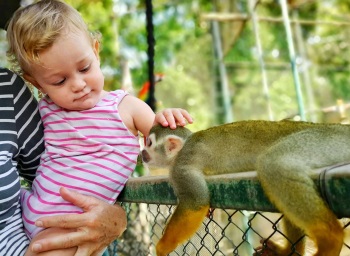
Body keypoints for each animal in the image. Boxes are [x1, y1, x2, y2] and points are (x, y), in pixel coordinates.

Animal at [140, 121, 348, 256]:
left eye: (149, 143)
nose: (142, 152)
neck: (181, 151)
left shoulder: (181, 166)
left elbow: (195, 200)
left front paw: (162, 247)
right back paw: (289, 252)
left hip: (324, 142)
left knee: (273, 163)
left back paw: (331, 239)